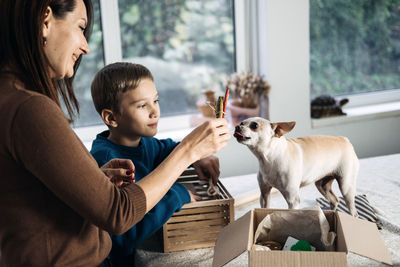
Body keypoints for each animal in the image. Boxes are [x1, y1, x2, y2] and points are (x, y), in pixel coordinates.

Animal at [231, 118, 360, 218]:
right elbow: (265, 208)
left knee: (352, 209)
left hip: (346, 187)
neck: (269, 158)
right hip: (322, 185)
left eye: (254, 126)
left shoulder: (292, 199)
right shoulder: (264, 194)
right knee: (334, 200)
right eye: (242, 123)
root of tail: (344, 140)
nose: (237, 126)